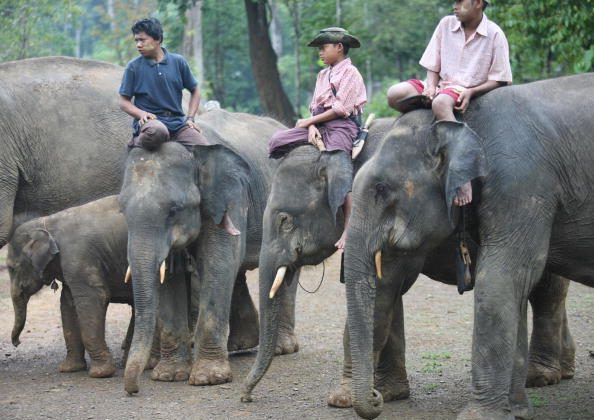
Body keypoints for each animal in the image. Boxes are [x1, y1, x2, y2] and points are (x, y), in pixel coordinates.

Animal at [8, 196, 131, 378]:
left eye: (11, 268)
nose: (17, 342)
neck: (46, 223)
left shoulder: (78, 257)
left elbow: (93, 298)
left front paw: (100, 373)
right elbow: (68, 303)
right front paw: (69, 369)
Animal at [120, 107, 300, 394]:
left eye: (174, 210)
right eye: (122, 210)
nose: (133, 390)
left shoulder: (231, 196)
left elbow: (218, 262)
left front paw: (208, 378)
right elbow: (170, 276)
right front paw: (169, 376)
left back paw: (281, 348)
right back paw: (240, 345)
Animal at [240, 124, 572, 404]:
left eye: (284, 220)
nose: (246, 396)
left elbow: (385, 288)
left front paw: (343, 399)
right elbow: (388, 295)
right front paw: (389, 393)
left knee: (547, 292)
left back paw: (540, 377)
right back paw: (564, 370)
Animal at [340, 74, 588, 418]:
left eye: (381, 188)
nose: (376, 398)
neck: (464, 123)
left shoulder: (523, 184)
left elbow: (499, 280)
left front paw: (478, 415)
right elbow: (512, 287)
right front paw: (515, 412)